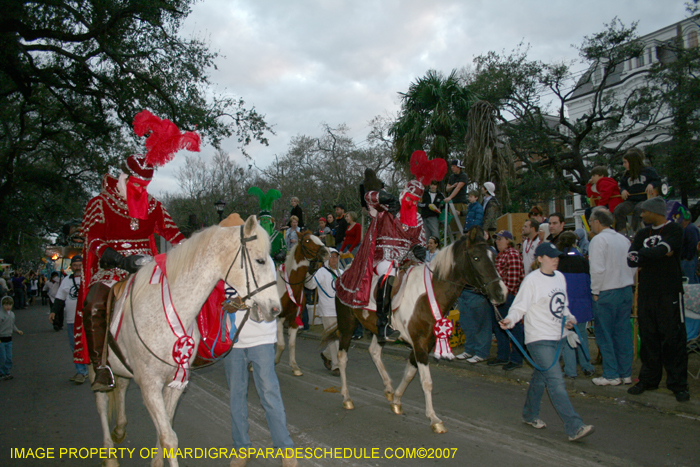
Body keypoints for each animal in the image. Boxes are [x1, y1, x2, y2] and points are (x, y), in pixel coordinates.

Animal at [94, 217, 280, 467]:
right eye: (260, 260)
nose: (275, 309)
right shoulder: (150, 384)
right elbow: (169, 437)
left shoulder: (175, 382)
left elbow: (166, 430)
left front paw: (156, 462)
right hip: (95, 365)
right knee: (101, 402)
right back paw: (109, 454)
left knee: (121, 386)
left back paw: (120, 429)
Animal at [274, 230, 328, 376]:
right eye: (307, 240)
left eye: (319, 237)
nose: (326, 252)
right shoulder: (279, 318)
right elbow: (280, 344)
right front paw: (274, 361)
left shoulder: (294, 319)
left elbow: (291, 344)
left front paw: (295, 367)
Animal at [322, 227, 504, 432]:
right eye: (476, 258)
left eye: (494, 256)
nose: (501, 293)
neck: (428, 295)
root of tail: (343, 273)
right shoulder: (419, 343)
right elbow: (426, 381)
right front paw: (434, 418)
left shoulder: (424, 343)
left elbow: (410, 373)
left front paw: (396, 400)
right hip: (347, 324)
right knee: (342, 357)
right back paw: (347, 397)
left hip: (378, 329)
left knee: (374, 351)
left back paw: (388, 388)